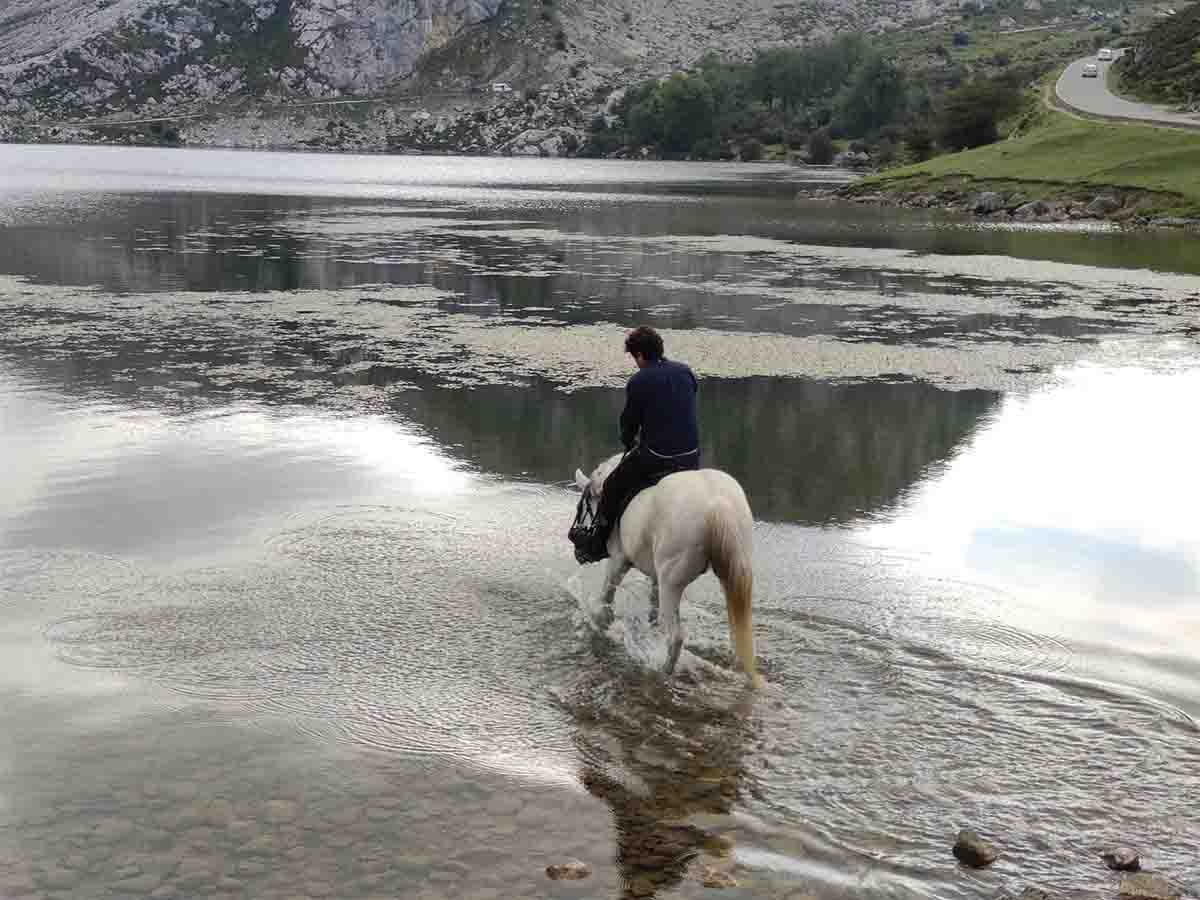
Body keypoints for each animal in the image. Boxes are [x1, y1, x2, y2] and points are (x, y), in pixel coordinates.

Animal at [573, 453, 758, 686]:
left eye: (582, 506)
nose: (579, 551)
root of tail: (716, 504)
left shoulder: (618, 561)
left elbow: (605, 599)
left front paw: (601, 624)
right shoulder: (655, 577)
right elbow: (652, 608)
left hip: (671, 583)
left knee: (675, 637)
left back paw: (662, 671)